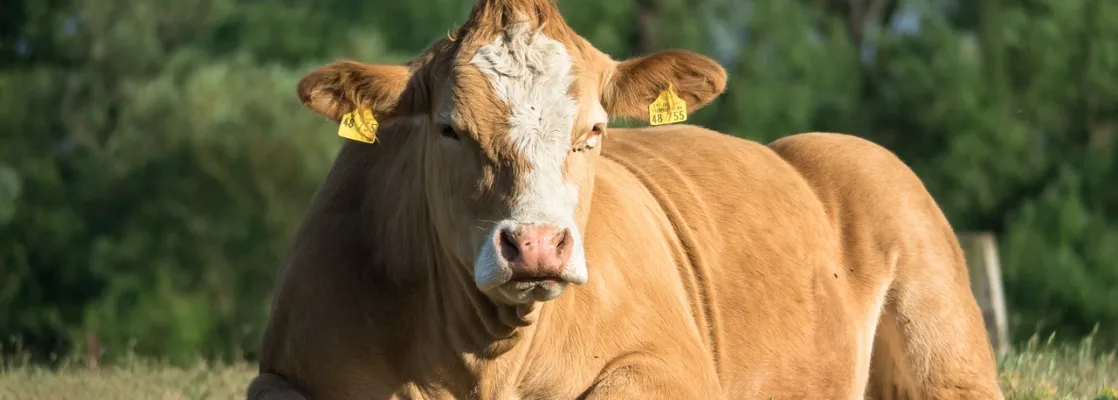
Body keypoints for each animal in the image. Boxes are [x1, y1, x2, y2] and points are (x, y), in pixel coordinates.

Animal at [246, 0, 1004, 398]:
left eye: (595, 130)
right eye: (448, 128)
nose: (536, 245)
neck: (480, 361)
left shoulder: (669, 370)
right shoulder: (284, 373)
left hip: (944, 347)